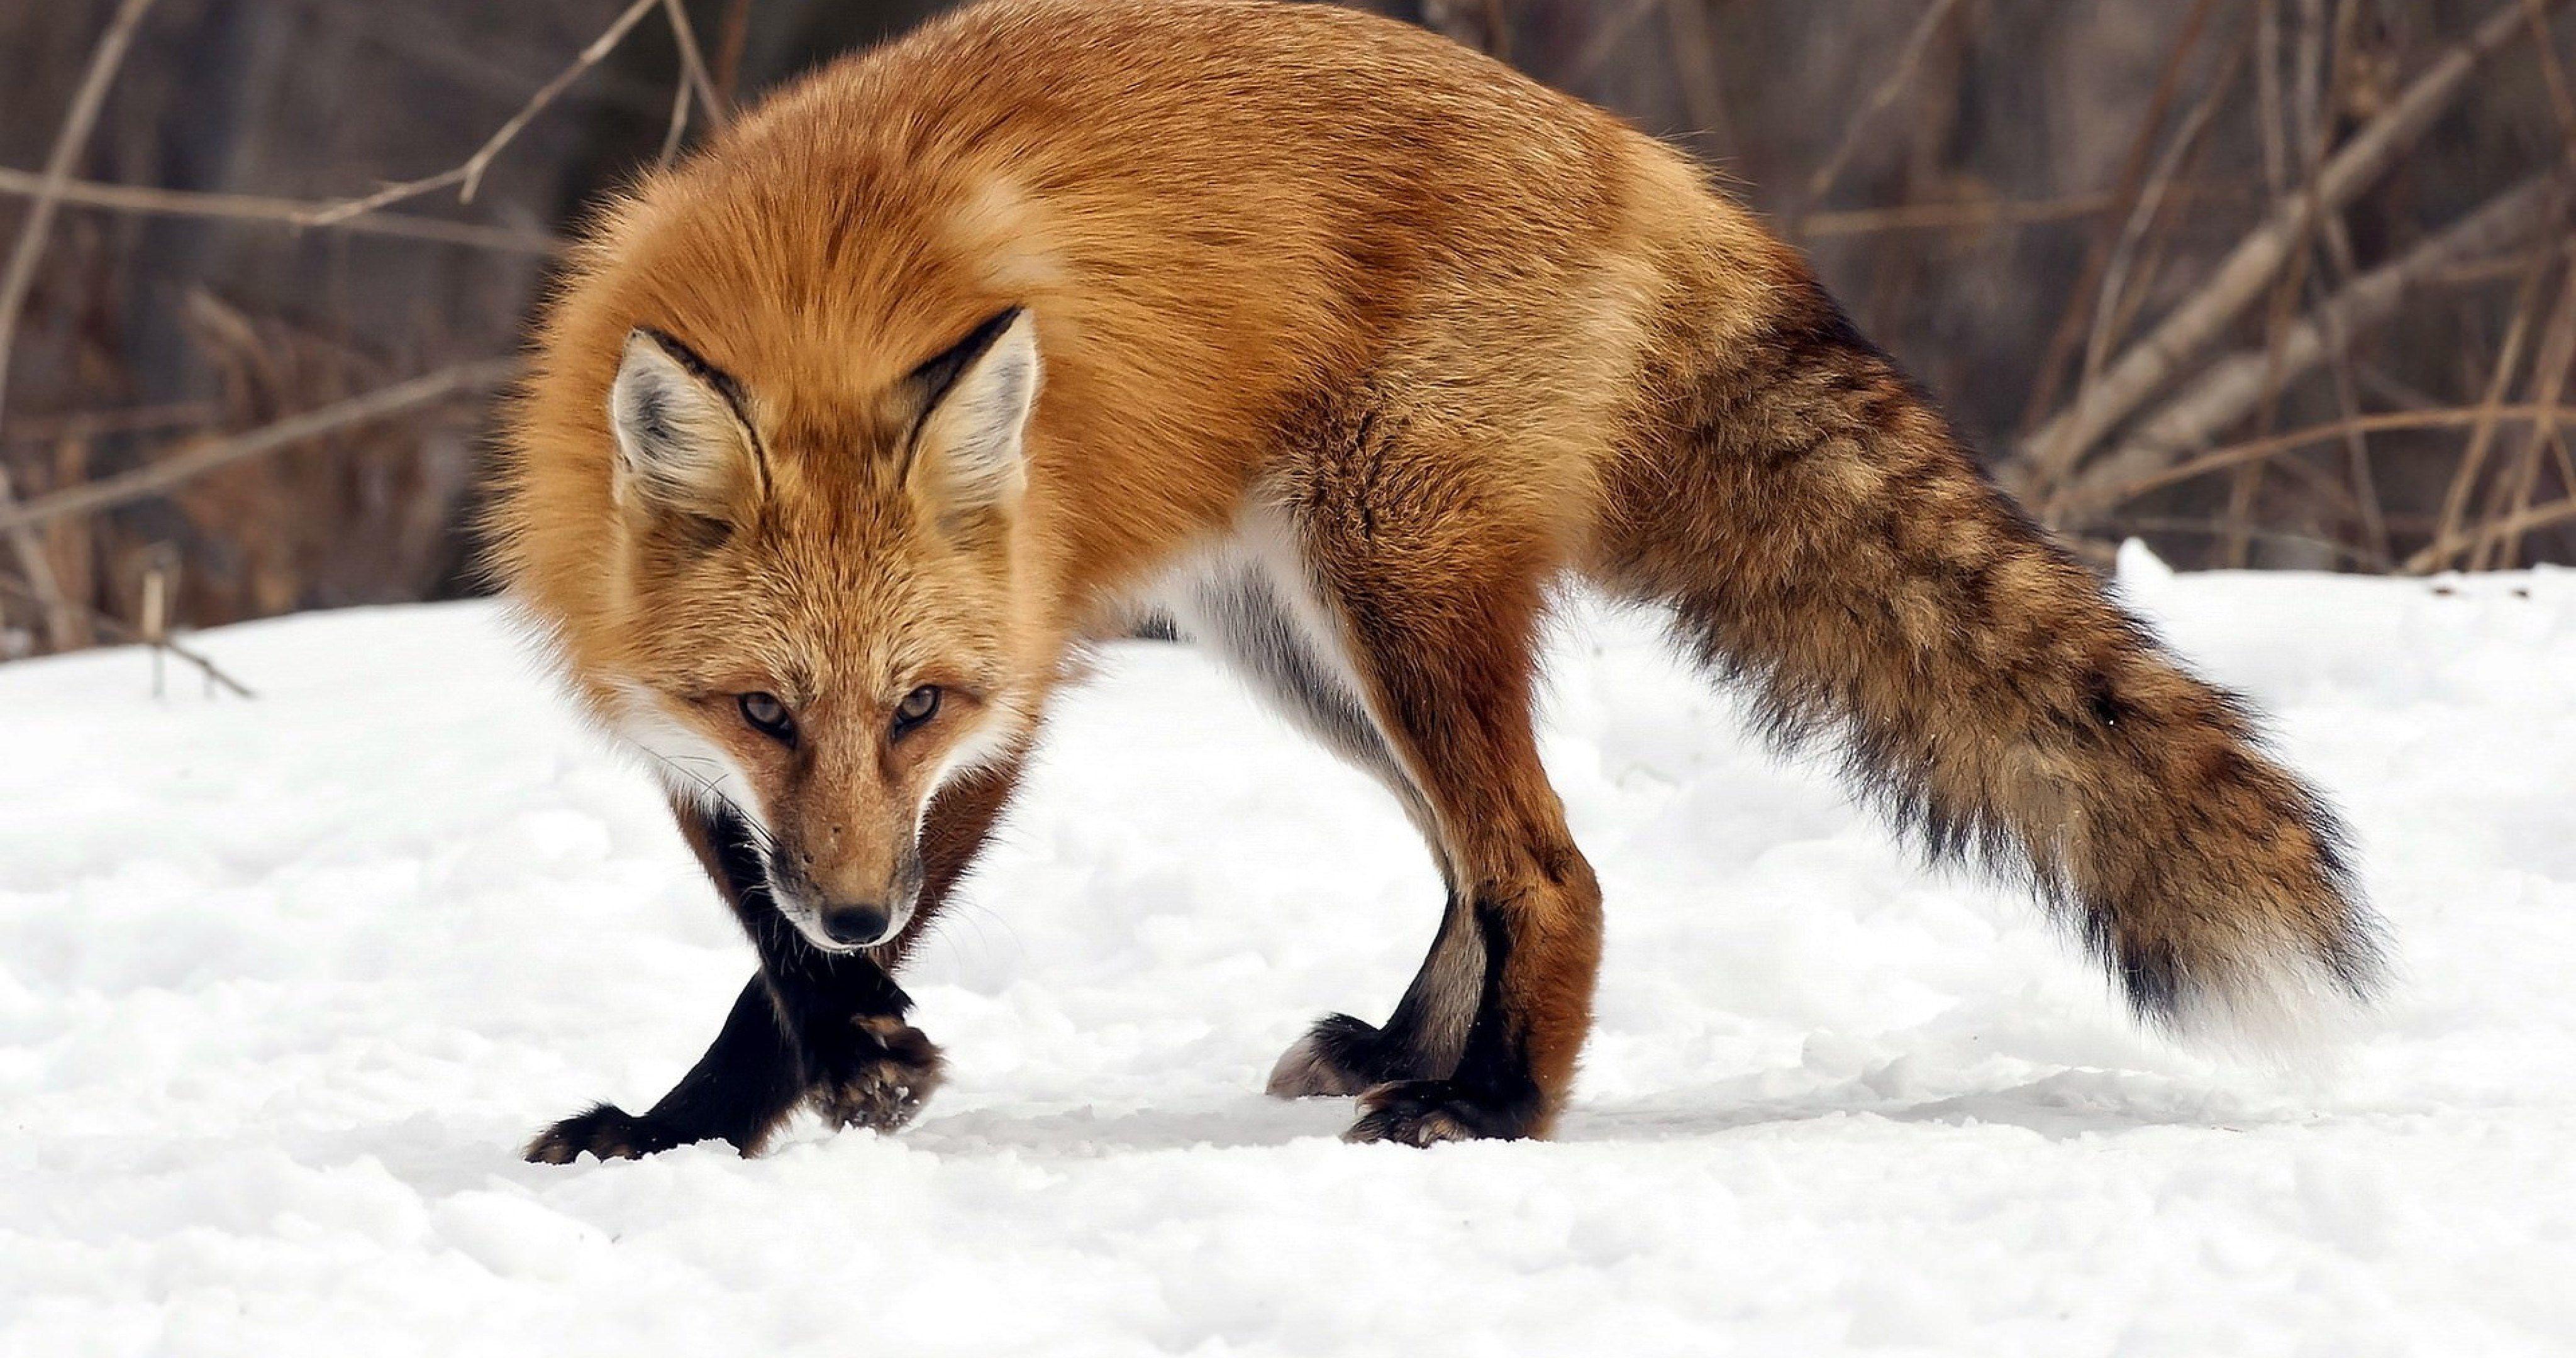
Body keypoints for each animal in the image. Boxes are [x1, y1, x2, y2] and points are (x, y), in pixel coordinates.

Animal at [484, 0, 2370, 1159]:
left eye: (916, 704)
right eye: (764, 708)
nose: (869, 921)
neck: (815, 292)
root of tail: (1640, 157)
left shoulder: (1004, 693)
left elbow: (783, 962)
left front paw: (810, 1074)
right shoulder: (693, 742)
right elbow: (764, 926)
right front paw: (703, 1116)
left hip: (1393, 592)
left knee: (1552, 865)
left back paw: (1494, 1109)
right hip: (1296, 640)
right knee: (1474, 870)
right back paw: (1410, 1055)